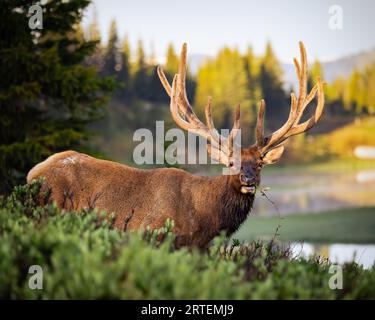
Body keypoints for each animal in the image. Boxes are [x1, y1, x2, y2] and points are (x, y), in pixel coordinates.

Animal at [27, 42, 324, 248]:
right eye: (231, 162)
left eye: (260, 163)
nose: (248, 179)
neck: (204, 223)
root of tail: (32, 174)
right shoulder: (152, 235)